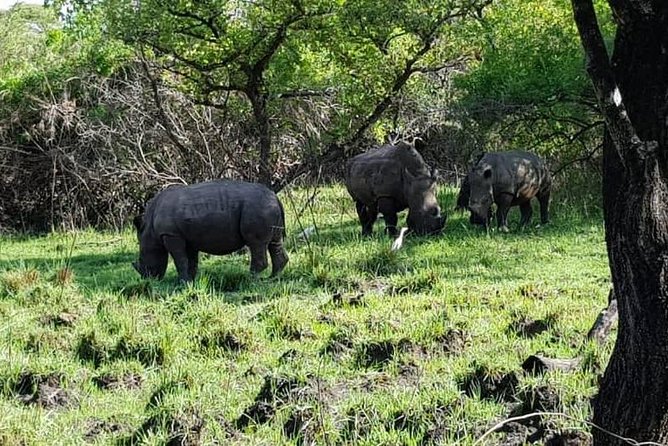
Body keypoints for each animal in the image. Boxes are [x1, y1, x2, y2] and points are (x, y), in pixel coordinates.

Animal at [132, 180, 288, 282]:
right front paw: (190, 281)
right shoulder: (189, 238)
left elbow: (180, 259)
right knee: (274, 242)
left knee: (256, 243)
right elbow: (191, 261)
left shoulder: (171, 234)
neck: (150, 228)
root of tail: (275, 197)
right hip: (265, 207)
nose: (148, 280)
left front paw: (182, 282)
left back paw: (250, 279)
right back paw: (272, 278)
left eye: (142, 258)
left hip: (257, 207)